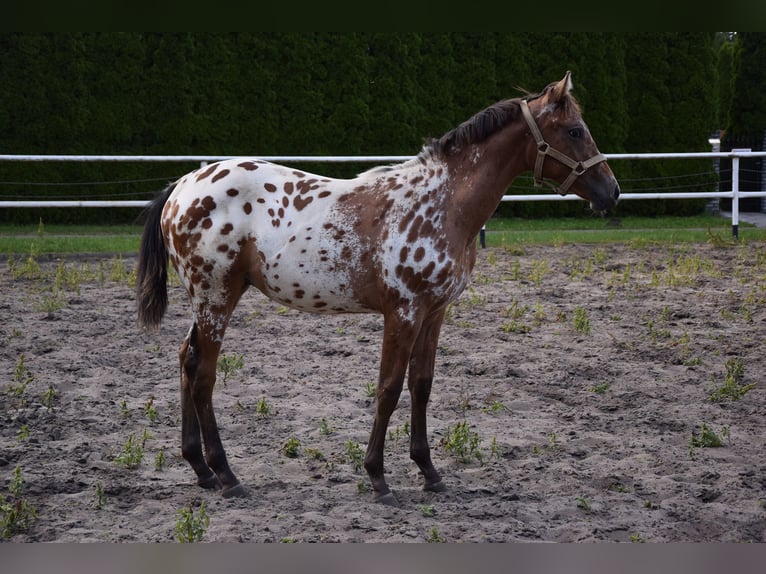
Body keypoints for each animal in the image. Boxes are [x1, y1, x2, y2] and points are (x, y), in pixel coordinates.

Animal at [136, 71, 620, 506]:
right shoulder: (402, 313)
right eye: (575, 131)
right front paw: (378, 478)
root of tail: (182, 186)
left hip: (210, 300)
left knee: (186, 361)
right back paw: (227, 476)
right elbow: (388, 388)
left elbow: (421, 385)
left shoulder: (434, 312)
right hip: (216, 297)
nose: (611, 192)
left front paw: (429, 472)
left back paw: (200, 470)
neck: (443, 203)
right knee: (203, 375)